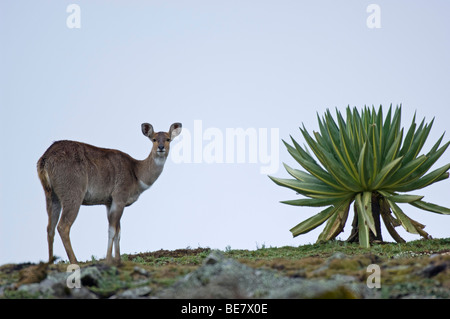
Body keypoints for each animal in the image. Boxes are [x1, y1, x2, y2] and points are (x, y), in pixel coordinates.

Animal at [37, 122, 181, 264]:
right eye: (154, 139)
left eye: (168, 139)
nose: (161, 148)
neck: (136, 173)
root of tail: (45, 159)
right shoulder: (119, 197)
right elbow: (112, 230)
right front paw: (108, 260)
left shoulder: (108, 202)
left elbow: (118, 231)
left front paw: (117, 259)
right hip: (73, 193)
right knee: (63, 226)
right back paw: (74, 261)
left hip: (50, 195)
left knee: (50, 227)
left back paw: (50, 263)